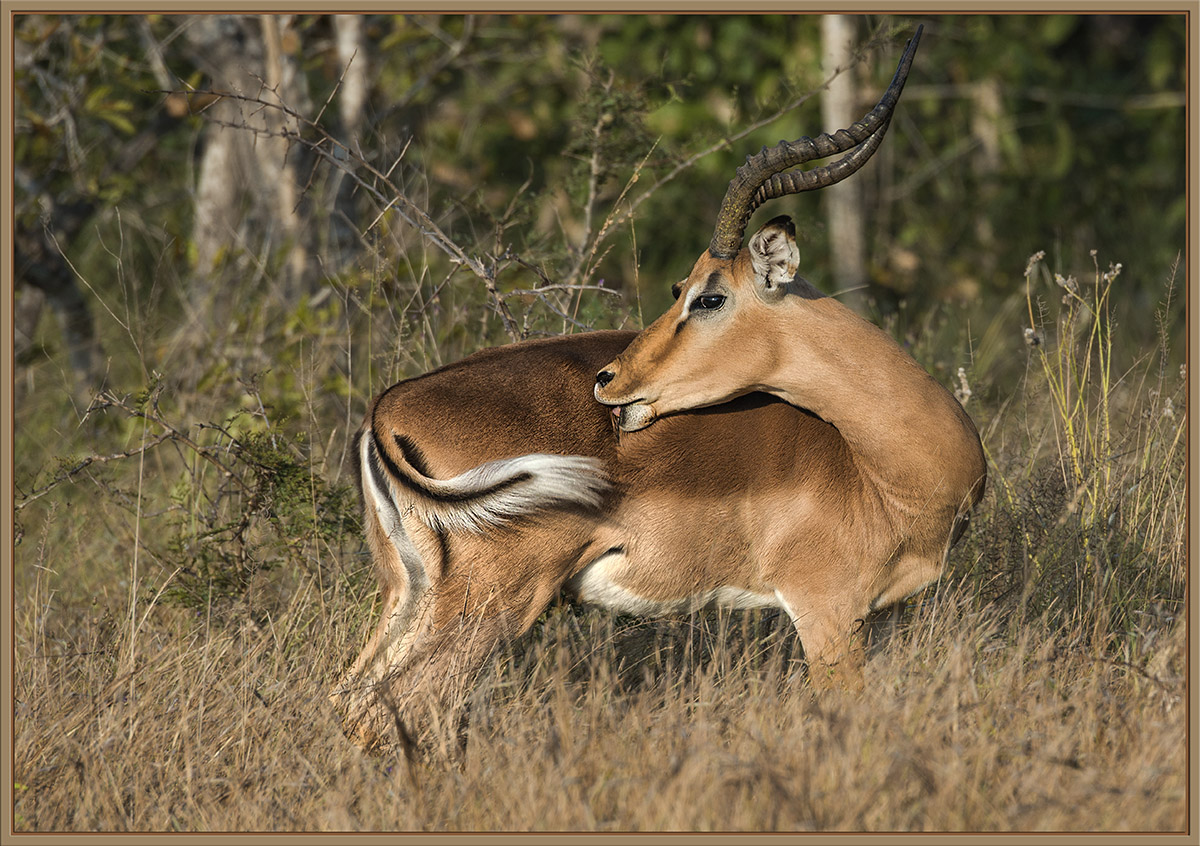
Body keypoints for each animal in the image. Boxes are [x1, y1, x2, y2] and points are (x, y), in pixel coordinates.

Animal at [332, 25, 985, 752]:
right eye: (687, 289)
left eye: (705, 295)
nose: (610, 380)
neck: (880, 468)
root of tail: (387, 407)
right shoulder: (826, 611)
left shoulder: (878, 616)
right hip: (489, 603)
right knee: (398, 706)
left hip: (409, 593)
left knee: (352, 697)